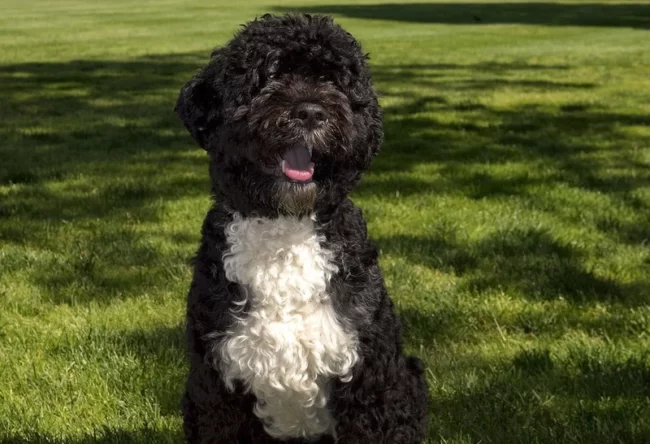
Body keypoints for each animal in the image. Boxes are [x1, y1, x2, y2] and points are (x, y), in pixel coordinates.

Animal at [177, 13, 428, 444]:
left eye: (333, 80)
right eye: (268, 76)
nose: (310, 112)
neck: (284, 228)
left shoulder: (371, 383)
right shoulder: (216, 390)